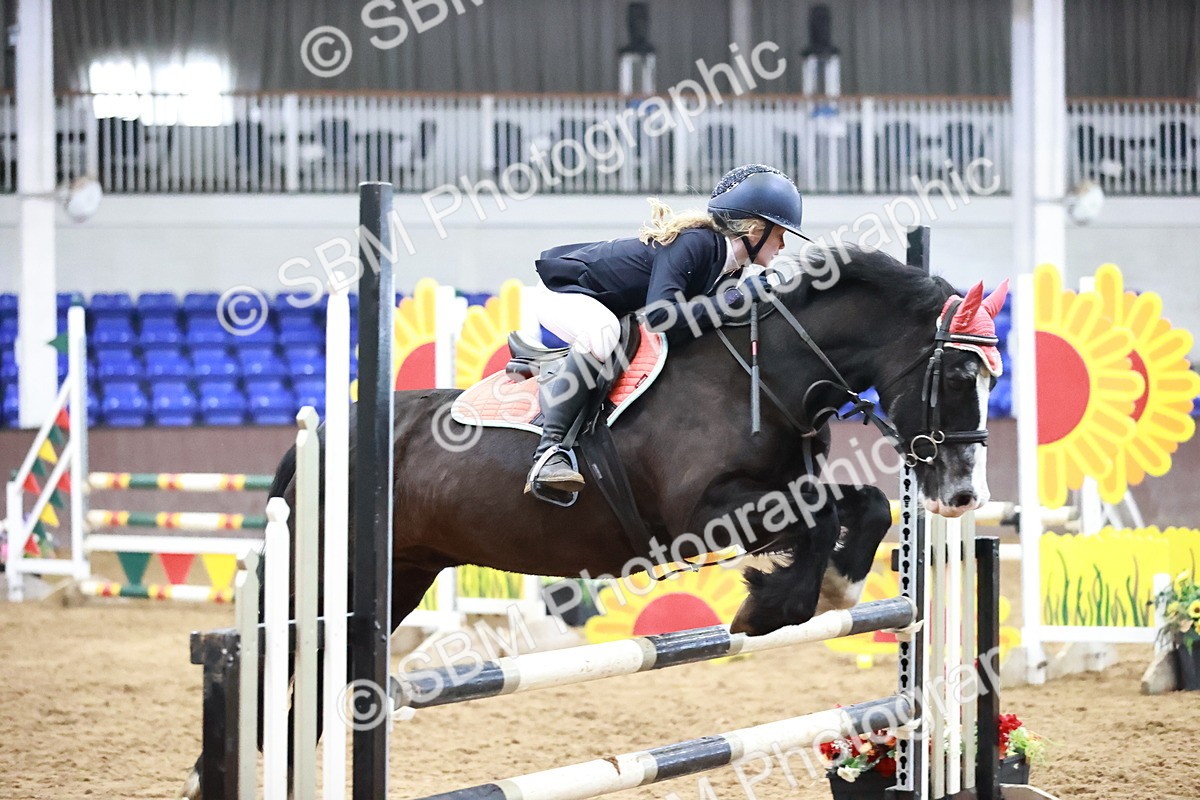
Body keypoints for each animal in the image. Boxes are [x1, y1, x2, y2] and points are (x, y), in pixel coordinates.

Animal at [183, 247, 1005, 798]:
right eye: (958, 376)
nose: (964, 495)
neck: (761, 371)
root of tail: (326, 431)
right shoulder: (705, 513)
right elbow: (819, 519)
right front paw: (775, 605)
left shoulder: (779, 489)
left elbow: (860, 505)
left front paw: (832, 586)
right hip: (344, 568)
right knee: (291, 657)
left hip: (399, 574)